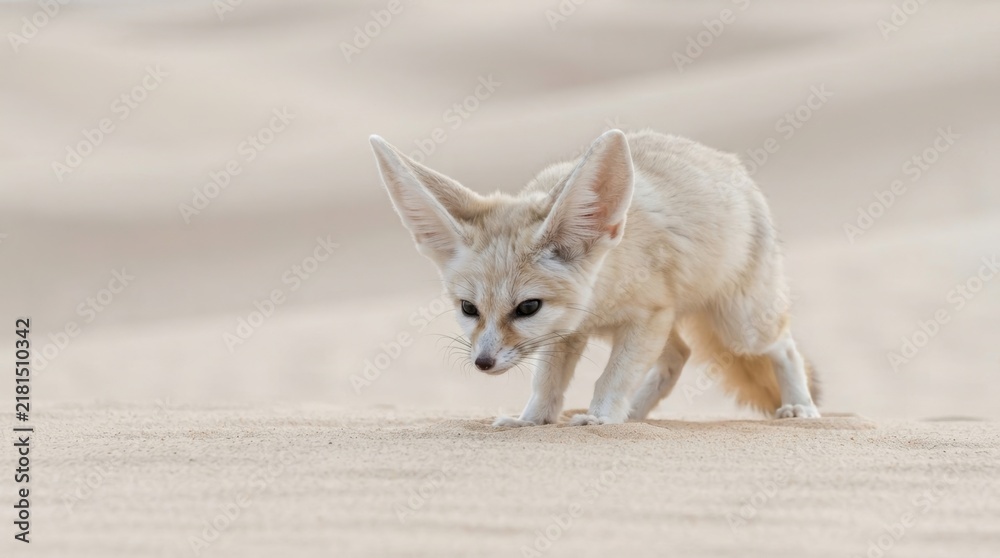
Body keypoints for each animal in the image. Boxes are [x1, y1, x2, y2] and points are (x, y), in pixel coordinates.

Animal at [368, 129, 820, 427]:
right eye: (468, 308)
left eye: (527, 307)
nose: (482, 362)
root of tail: (730, 163)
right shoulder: (568, 333)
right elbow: (546, 382)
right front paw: (531, 420)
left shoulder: (647, 316)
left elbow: (613, 375)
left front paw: (600, 418)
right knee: (679, 356)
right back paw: (634, 415)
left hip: (741, 328)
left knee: (784, 347)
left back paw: (801, 406)